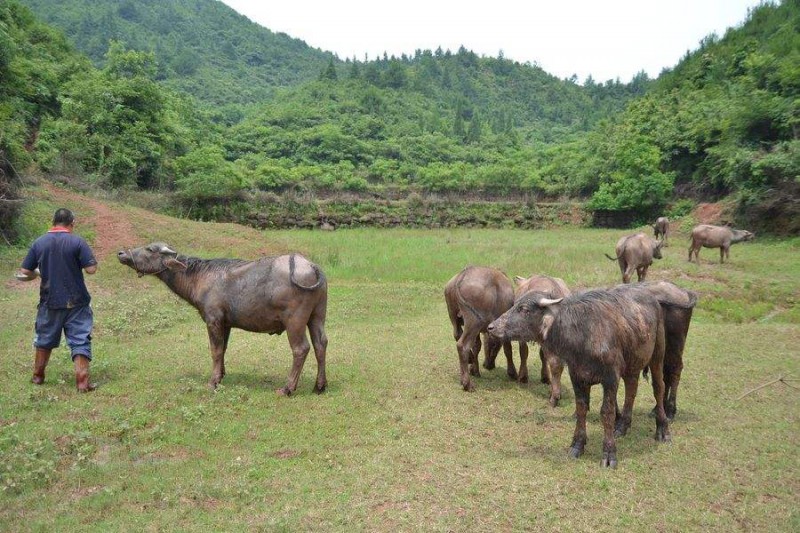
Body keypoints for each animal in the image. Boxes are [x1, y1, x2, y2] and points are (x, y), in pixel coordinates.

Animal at [116, 242, 328, 394]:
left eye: (149, 249)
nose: (121, 253)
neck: (200, 277)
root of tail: (311, 266)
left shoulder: (213, 320)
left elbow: (215, 350)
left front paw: (213, 382)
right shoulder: (226, 324)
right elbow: (224, 348)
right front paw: (221, 375)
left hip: (295, 321)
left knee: (301, 349)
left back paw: (287, 388)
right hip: (317, 316)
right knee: (321, 344)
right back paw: (320, 386)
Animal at [608, 280, 696, 422]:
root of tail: (682, 291)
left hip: (675, 345)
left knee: (675, 370)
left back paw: (670, 410)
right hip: (663, 350)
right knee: (665, 374)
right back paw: (658, 409)